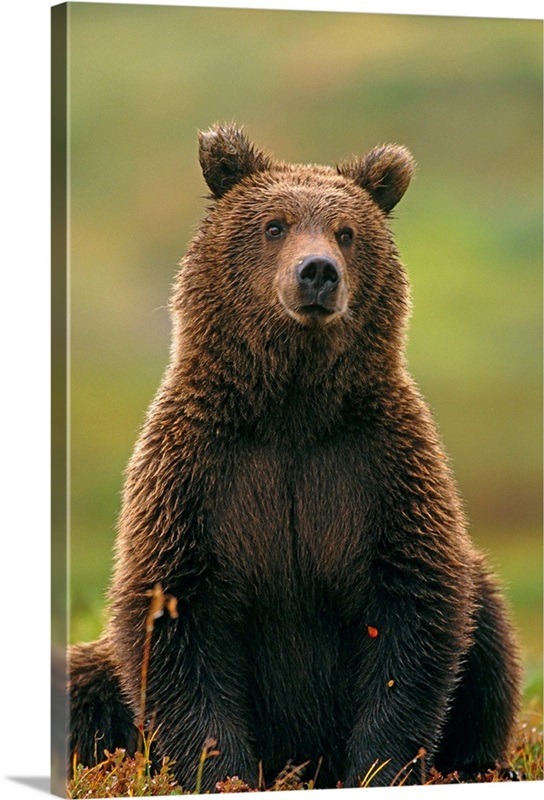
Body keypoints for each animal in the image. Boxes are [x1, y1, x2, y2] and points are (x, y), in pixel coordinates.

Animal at [69, 122, 524, 792]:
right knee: (81, 686)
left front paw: (377, 766)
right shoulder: (199, 477)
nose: (318, 273)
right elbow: (175, 616)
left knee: (486, 631)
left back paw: (477, 765)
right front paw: (221, 773)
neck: (291, 410)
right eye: (275, 224)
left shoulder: (379, 468)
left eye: (347, 230)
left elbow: (413, 611)